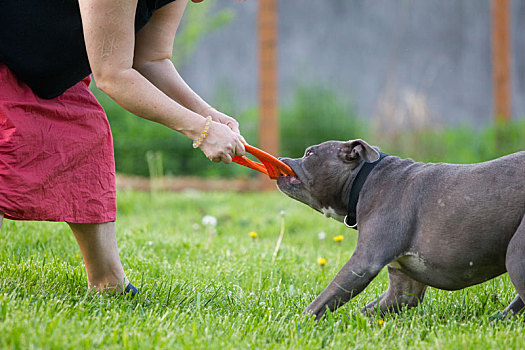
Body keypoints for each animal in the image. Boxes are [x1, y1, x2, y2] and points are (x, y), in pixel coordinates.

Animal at [276, 139, 520, 320]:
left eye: (309, 153)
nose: (280, 159)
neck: (364, 180)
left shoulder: (363, 263)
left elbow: (321, 302)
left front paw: (295, 325)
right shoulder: (403, 287)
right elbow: (363, 312)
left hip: (516, 254)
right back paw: (499, 319)